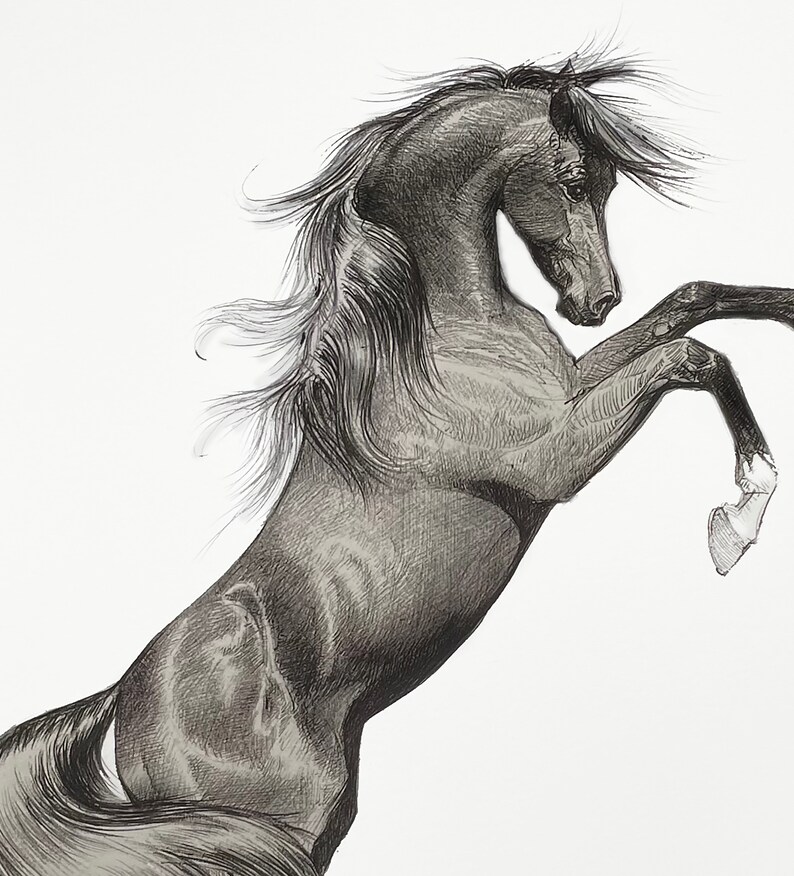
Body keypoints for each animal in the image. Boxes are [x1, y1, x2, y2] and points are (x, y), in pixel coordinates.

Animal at [1, 53, 792, 876]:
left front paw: (787, 307)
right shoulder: (555, 457)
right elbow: (692, 358)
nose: (597, 301)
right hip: (271, 827)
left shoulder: (571, 389)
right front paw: (740, 518)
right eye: (575, 179)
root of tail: (123, 702)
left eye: (608, 184)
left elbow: (691, 301)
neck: (437, 333)